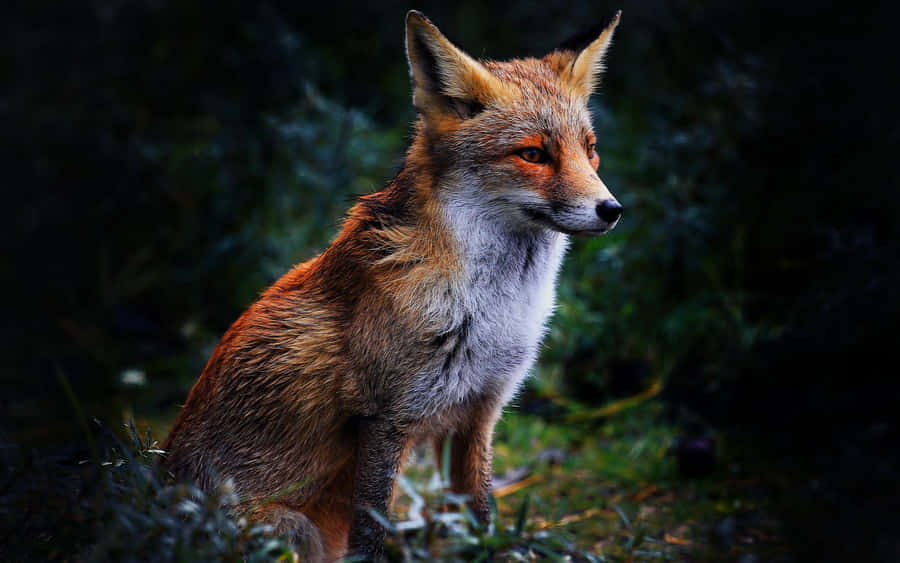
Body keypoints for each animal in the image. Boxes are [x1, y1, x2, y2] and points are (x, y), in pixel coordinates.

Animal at [162, 9, 623, 562]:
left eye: (590, 150)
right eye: (533, 154)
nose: (611, 209)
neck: (493, 309)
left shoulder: (477, 414)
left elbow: (482, 515)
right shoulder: (386, 418)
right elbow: (371, 531)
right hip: (293, 530)